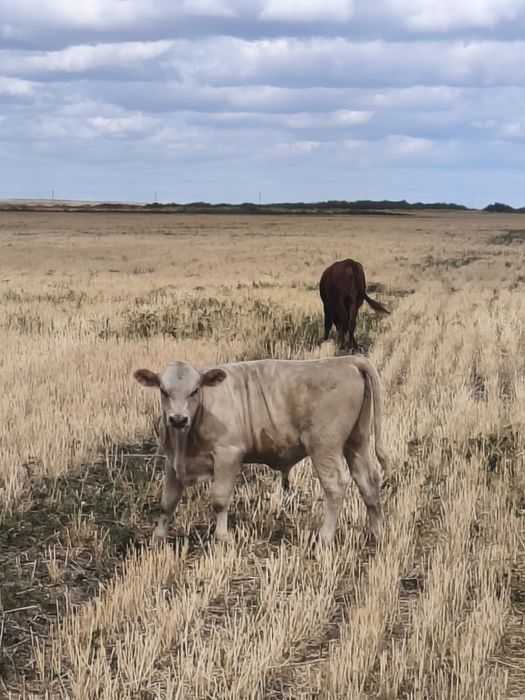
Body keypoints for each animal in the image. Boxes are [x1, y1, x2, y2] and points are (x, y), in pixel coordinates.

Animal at [134, 355, 389, 545]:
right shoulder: (171, 461)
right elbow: (167, 501)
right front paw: (158, 537)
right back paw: (376, 533)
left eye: (195, 390)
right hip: (357, 441)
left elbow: (220, 500)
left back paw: (325, 538)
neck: (185, 441)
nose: (178, 419)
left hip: (324, 446)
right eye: (163, 390)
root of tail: (348, 360)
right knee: (367, 481)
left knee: (335, 485)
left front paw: (222, 537)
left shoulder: (228, 454)